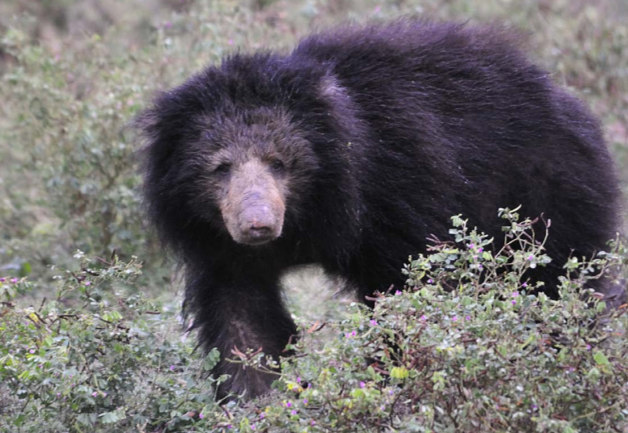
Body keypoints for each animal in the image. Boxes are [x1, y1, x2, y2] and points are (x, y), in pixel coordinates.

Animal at [135, 21, 620, 398]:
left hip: (547, 201)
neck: (314, 209)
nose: (258, 225)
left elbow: (410, 294)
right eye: (222, 167)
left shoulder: (399, 195)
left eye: (279, 163)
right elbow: (244, 323)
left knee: (552, 288)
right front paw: (257, 401)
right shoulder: (218, 243)